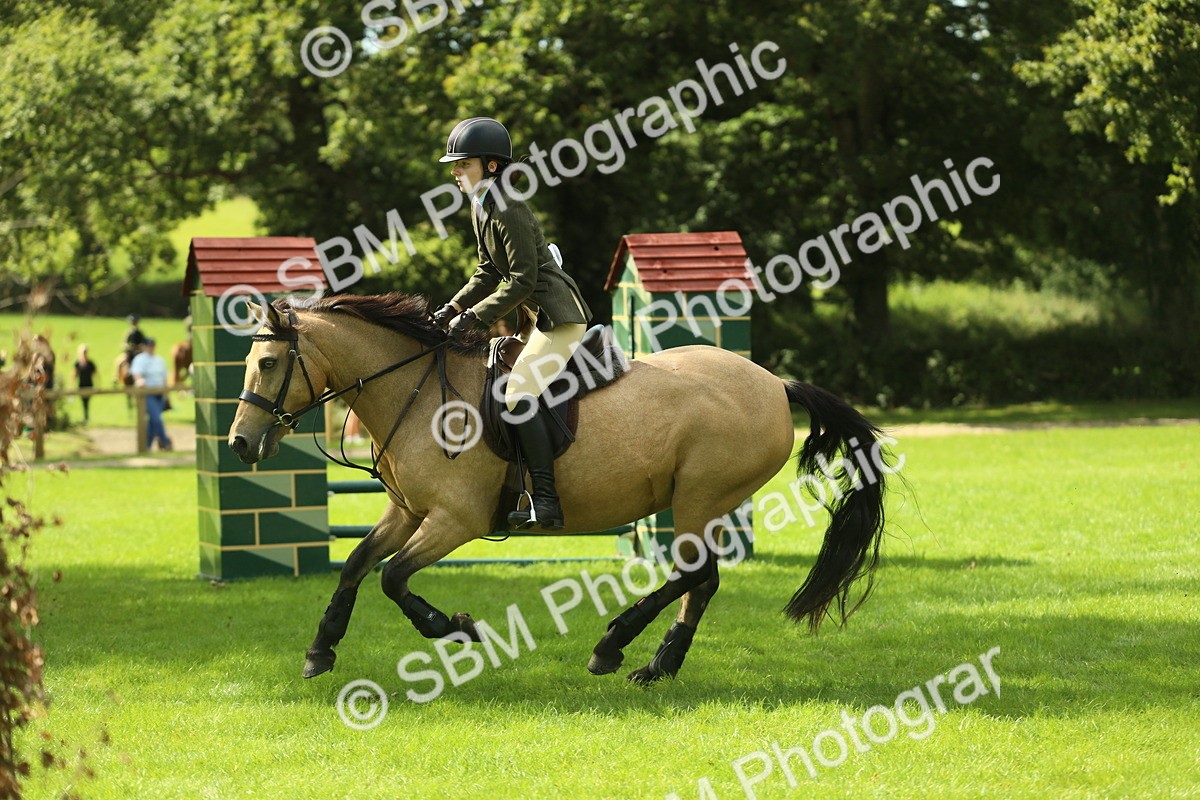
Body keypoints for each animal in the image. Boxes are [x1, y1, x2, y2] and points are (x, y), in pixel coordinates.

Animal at [227, 294, 890, 684]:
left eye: (267, 364)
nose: (239, 443)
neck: (412, 390)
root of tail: (776, 385)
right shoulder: (407, 511)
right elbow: (357, 565)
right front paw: (321, 649)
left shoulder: (455, 520)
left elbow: (392, 578)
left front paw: (457, 628)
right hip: (706, 503)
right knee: (703, 580)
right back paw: (658, 663)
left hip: (698, 498)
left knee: (693, 573)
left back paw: (614, 646)